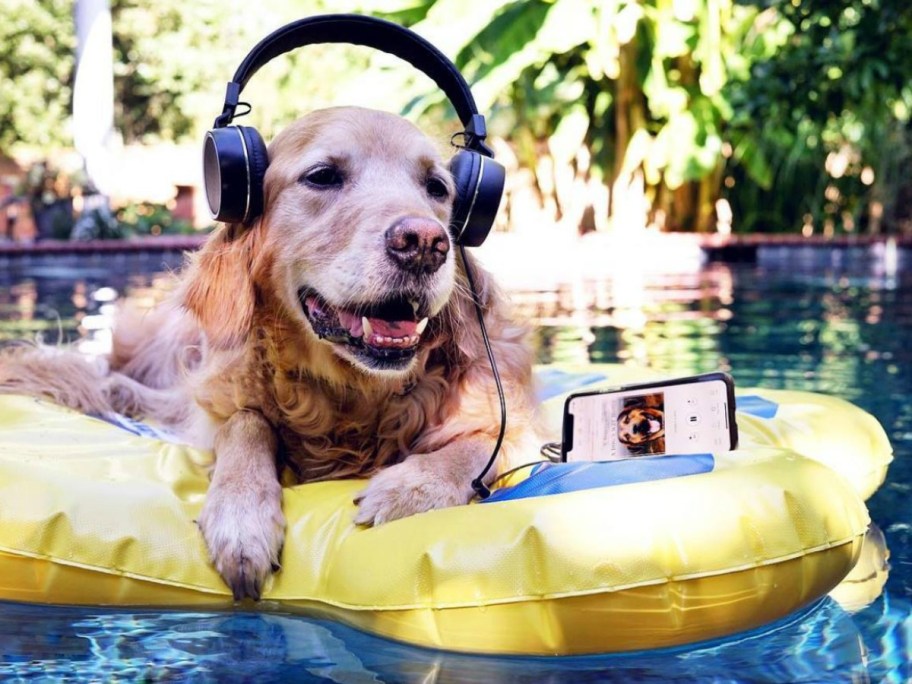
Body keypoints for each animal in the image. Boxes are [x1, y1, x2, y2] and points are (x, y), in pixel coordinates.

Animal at [0, 107, 536, 600]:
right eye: (322, 176)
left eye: (437, 188)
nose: (425, 242)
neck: (350, 396)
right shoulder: (224, 401)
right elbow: (245, 423)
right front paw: (241, 517)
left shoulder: (517, 421)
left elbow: (481, 445)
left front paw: (412, 488)